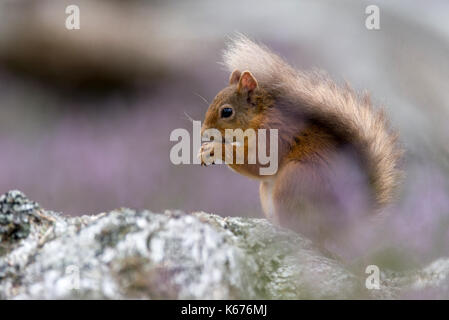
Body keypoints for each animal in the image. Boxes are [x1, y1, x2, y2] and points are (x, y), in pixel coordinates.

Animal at [198, 35, 400, 250]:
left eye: (227, 111)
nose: (203, 133)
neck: (259, 117)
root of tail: (345, 225)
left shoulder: (275, 134)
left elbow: (257, 163)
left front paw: (214, 149)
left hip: (294, 180)